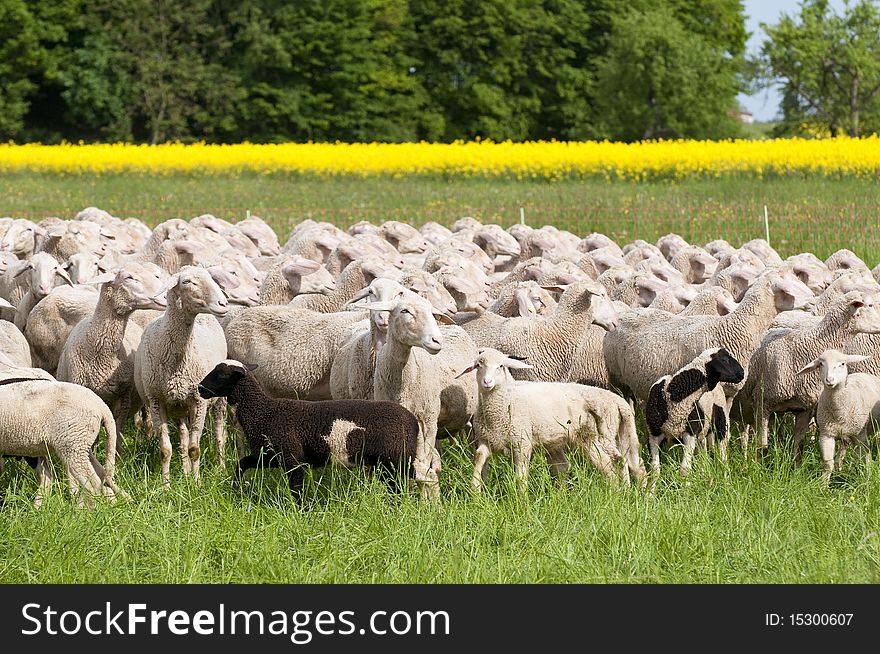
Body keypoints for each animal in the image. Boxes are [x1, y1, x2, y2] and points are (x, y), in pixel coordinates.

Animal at [134, 262, 237, 486]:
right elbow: (166, 449)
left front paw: (197, 484)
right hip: (178, 405)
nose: (223, 303)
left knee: (219, 433)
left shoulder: (198, 401)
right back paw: (186, 471)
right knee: (183, 436)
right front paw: (166, 486)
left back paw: (221, 467)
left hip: (216, 401)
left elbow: (194, 449)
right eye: (187, 282)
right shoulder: (157, 402)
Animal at [460, 348, 648, 492]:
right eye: (478, 366)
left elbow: (520, 476)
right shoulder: (485, 440)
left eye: (501, 366)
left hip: (601, 435)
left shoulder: (522, 443)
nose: (487, 382)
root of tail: (618, 401)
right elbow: (479, 458)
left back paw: (622, 491)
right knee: (620, 463)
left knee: (615, 462)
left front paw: (522, 498)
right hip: (588, 438)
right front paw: (475, 490)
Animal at [648, 348, 744, 482]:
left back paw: (726, 480)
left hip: (721, 425)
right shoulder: (654, 435)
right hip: (703, 434)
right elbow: (654, 470)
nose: (742, 373)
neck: (675, 395)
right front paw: (651, 488)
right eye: (724, 359)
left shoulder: (690, 434)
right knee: (704, 458)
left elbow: (684, 470)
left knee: (722, 457)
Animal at [796, 352, 880, 484]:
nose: (829, 380)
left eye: (842, 364)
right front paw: (823, 485)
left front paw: (867, 480)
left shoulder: (860, 435)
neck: (838, 412)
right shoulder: (826, 435)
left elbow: (865, 459)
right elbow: (827, 464)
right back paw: (838, 464)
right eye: (820, 364)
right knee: (845, 444)